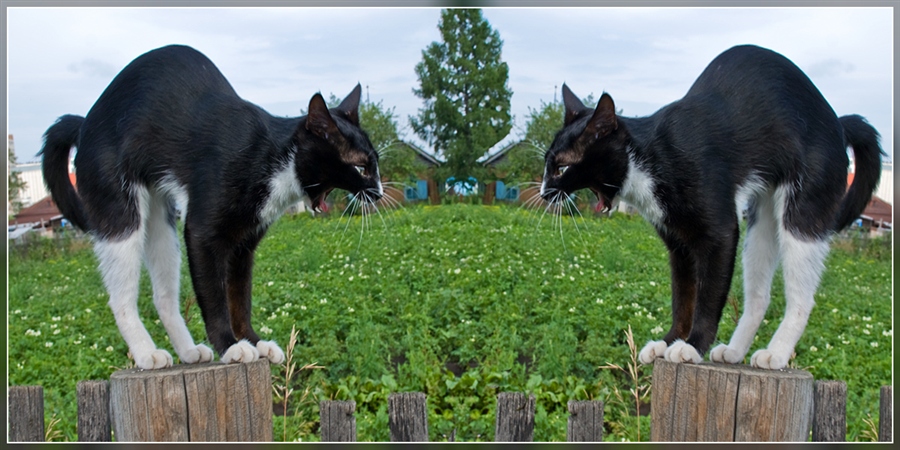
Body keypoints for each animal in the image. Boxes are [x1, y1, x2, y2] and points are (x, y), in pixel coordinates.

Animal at [41, 44, 384, 370]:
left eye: (375, 163)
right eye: (361, 167)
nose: (380, 193)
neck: (270, 158)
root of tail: (84, 124)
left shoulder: (244, 245)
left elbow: (239, 297)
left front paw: (253, 340)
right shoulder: (202, 233)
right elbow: (214, 296)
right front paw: (231, 346)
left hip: (161, 224)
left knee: (164, 297)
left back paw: (189, 351)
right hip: (120, 212)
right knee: (120, 297)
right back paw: (146, 354)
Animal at [536, 44, 884, 370]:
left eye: (562, 168)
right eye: (547, 164)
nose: (542, 192)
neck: (652, 158)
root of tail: (838, 123)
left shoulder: (720, 232)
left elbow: (708, 296)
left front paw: (692, 346)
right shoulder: (678, 245)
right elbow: (683, 297)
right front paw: (669, 340)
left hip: (803, 213)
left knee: (802, 297)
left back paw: (776, 354)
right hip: (761, 224)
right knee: (759, 297)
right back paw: (734, 351)